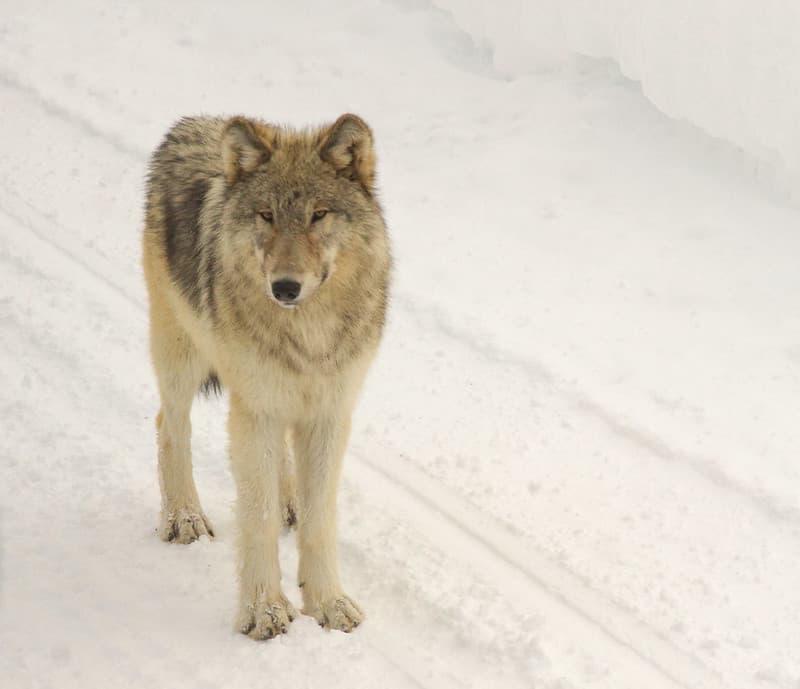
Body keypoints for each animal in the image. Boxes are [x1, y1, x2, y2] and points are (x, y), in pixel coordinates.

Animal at [142, 113, 391, 639]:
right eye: (266, 216)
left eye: (318, 215)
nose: (285, 287)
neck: (307, 335)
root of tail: (195, 122)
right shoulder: (255, 410)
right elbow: (256, 518)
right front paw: (264, 612)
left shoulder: (329, 413)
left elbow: (320, 520)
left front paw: (328, 603)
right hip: (182, 355)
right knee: (169, 425)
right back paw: (184, 518)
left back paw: (287, 500)